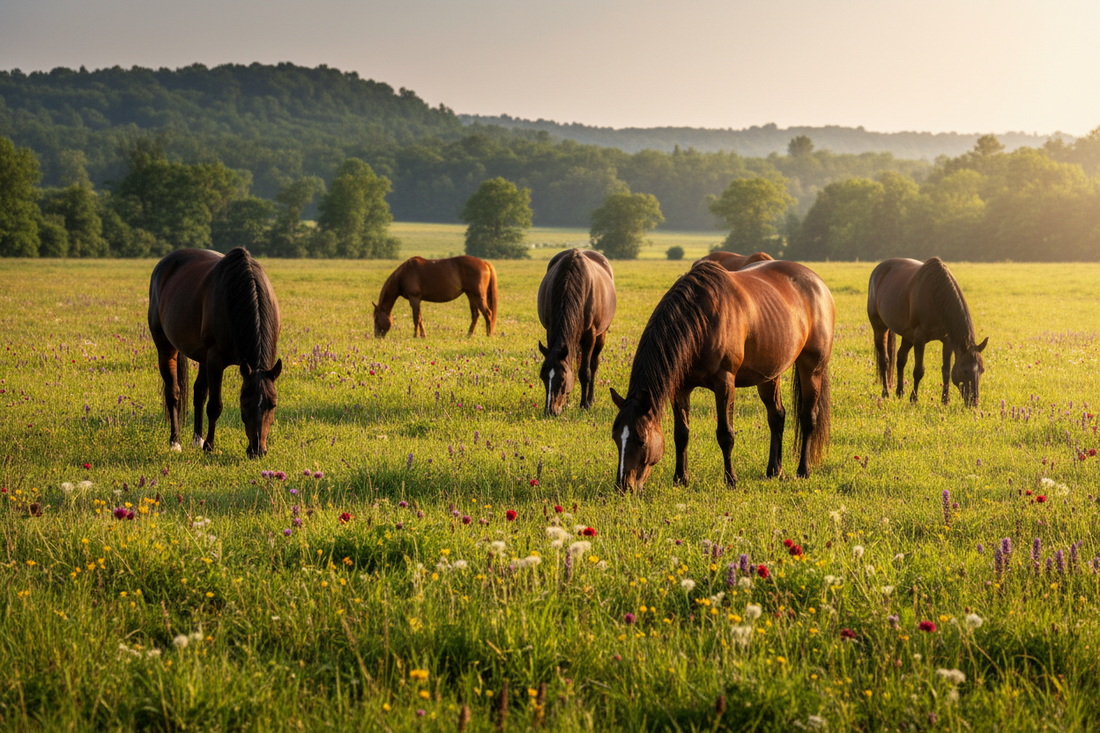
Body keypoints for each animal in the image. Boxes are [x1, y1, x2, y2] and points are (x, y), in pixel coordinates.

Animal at [148, 247, 282, 458]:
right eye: (244, 402)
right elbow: (215, 406)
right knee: (173, 392)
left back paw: (197, 439)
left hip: (202, 357)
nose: (257, 451)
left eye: (273, 404)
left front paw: (204, 442)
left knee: (199, 392)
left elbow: (204, 397)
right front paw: (209, 446)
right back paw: (175, 442)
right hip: (166, 347)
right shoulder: (215, 360)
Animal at [536, 249, 617, 415]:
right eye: (543, 377)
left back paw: (590, 399)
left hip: (601, 335)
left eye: (562, 379)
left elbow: (585, 372)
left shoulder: (590, 335)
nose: (550, 411)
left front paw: (584, 404)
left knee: (593, 364)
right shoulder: (550, 330)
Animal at [610, 260, 834, 491]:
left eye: (641, 440)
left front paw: (731, 479)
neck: (701, 321)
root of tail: (818, 283)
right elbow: (681, 434)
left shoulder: (725, 383)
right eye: (616, 438)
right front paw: (681, 478)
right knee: (777, 417)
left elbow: (725, 434)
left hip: (812, 369)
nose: (623, 486)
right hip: (770, 374)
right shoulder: (680, 388)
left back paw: (803, 470)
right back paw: (774, 470)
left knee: (808, 418)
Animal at [867, 257, 987, 407]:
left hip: (908, 335)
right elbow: (918, 371)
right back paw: (885, 393)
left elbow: (946, 370)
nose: (974, 403)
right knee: (885, 360)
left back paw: (900, 392)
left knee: (901, 358)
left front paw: (945, 400)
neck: (936, 296)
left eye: (982, 370)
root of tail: (878, 270)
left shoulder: (947, 340)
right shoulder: (920, 338)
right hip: (880, 328)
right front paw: (913, 399)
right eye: (965, 370)